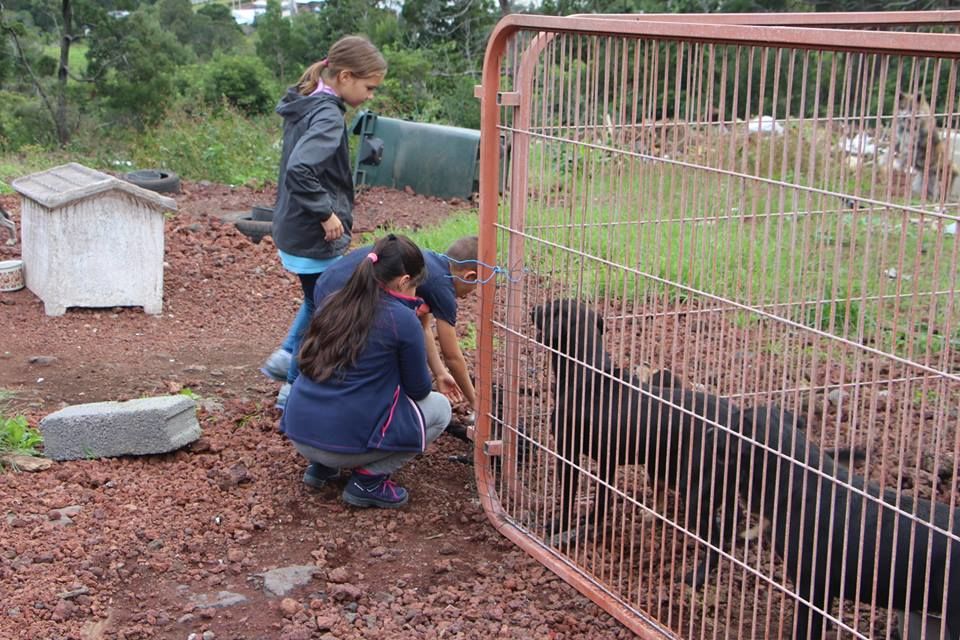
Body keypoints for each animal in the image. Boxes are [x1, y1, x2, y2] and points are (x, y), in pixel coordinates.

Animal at [528, 300, 740, 584]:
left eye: (547, 308)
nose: (532, 309)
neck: (586, 370)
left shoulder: (568, 453)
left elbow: (568, 497)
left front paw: (558, 525)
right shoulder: (607, 462)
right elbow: (602, 499)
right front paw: (592, 522)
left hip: (695, 489)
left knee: (716, 540)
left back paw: (697, 577)